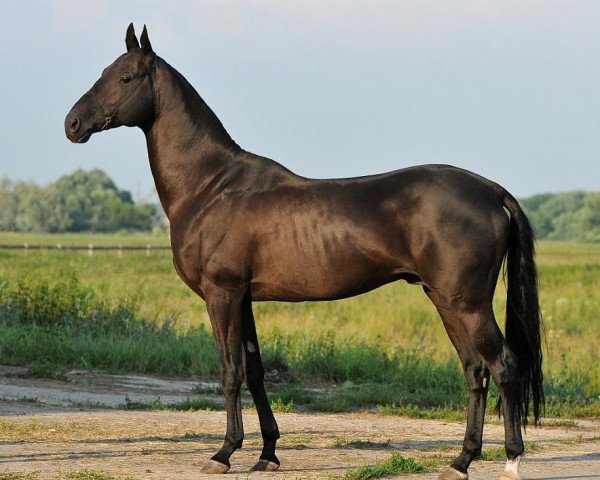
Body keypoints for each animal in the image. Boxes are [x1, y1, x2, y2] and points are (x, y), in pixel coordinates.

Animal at [65, 24, 544, 478]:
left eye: (126, 77)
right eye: (104, 72)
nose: (72, 124)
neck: (212, 186)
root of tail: (489, 189)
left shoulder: (222, 294)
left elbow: (229, 371)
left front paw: (224, 453)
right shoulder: (244, 298)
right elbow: (255, 372)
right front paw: (267, 454)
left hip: (468, 303)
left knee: (503, 366)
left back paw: (510, 460)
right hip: (443, 298)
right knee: (475, 371)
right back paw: (461, 461)